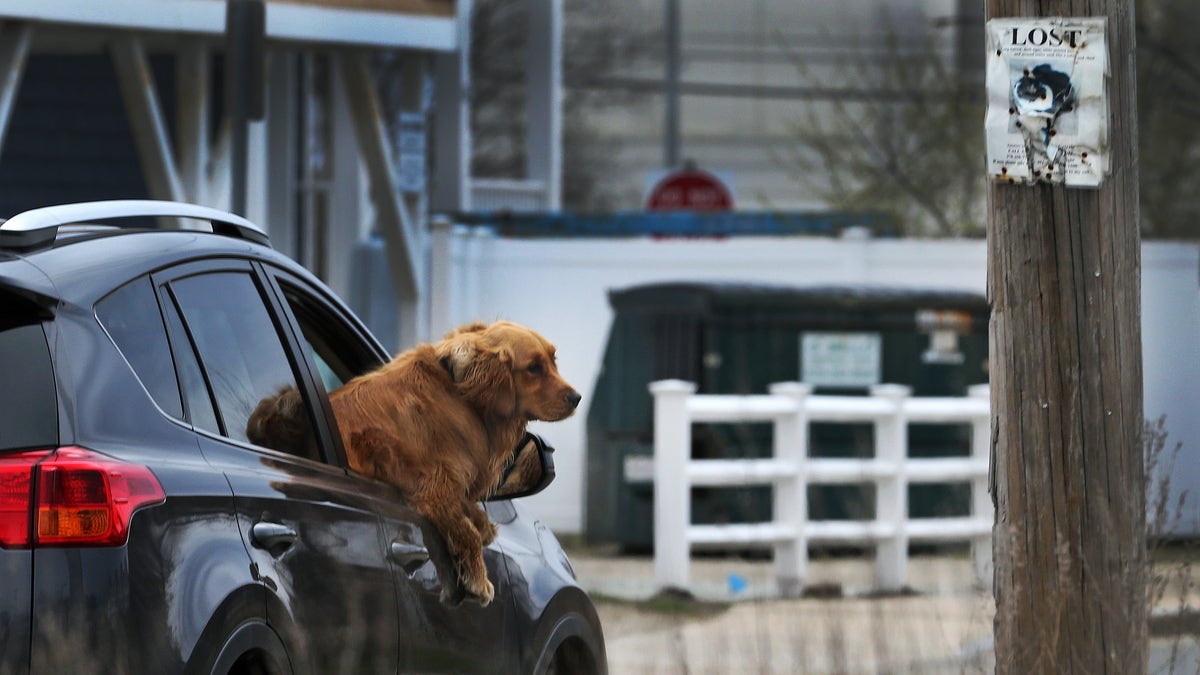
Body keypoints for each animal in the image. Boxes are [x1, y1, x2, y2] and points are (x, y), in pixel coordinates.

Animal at [328, 319, 580, 605]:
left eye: (553, 360)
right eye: (534, 367)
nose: (577, 398)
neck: (462, 396)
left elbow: (467, 505)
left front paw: (484, 524)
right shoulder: (430, 488)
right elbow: (466, 532)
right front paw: (479, 581)